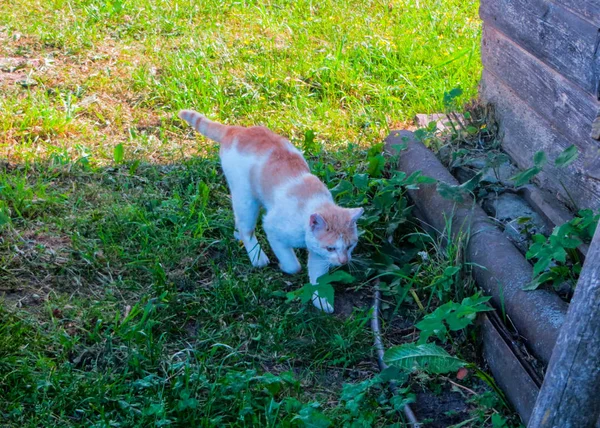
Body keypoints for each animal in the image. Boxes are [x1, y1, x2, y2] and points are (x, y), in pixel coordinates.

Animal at [178, 108, 364, 312]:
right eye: (331, 247)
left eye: (350, 245)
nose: (344, 261)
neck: (316, 204)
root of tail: (236, 130)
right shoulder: (273, 229)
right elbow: (294, 265)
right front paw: (284, 266)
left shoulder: (317, 253)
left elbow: (318, 278)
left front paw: (321, 301)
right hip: (246, 198)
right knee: (247, 228)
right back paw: (257, 257)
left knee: (239, 221)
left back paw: (237, 235)